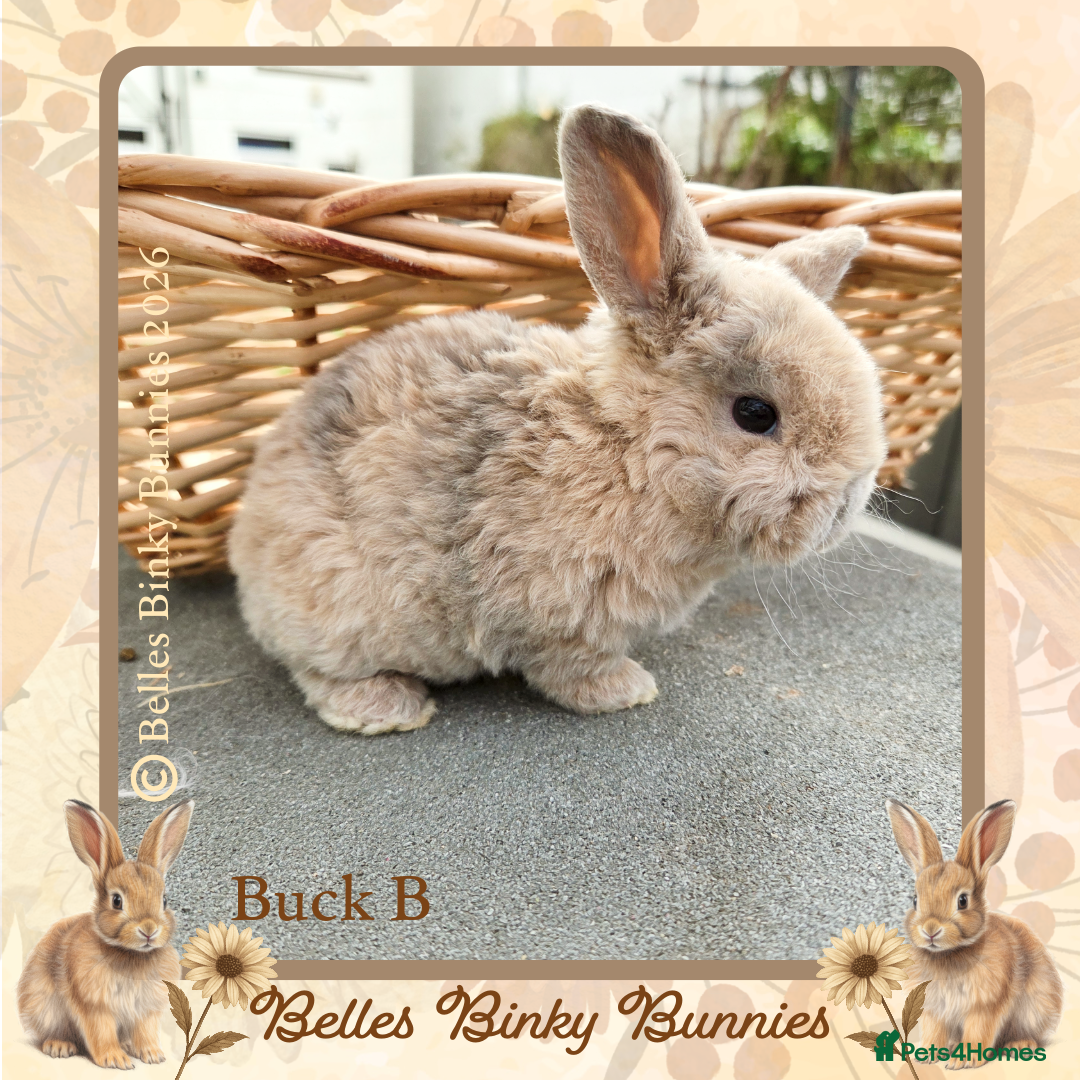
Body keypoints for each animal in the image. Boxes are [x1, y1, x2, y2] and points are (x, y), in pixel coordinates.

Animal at [17, 799, 194, 1069]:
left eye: (164, 900)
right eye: (117, 901)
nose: (149, 930)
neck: (131, 954)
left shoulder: (145, 1009)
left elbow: (145, 1031)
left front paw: (153, 1055)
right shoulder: (94, 1005)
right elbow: (101, 1031)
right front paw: (116, 1060)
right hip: (45, 1008)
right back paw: (59, 1046)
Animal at [228, 103, 887, 735]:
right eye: (755, 413)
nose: (847, 506)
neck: (626, 449)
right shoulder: (562, 615)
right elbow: (571, 667)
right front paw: (626, 691)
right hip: (334, 601)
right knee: (318, 670)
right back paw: (384, 709)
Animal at [886, 798, 1063, 1066]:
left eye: (962, 901)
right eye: (915, 900)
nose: (930, 930)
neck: (950, 954)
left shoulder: (984, 1005)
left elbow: (978, 1031)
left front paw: (963, 1061)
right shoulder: (935, 1009)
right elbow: (934, 1031)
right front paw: (926, 1056)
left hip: (1034, 1009)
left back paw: (1019, 1045)